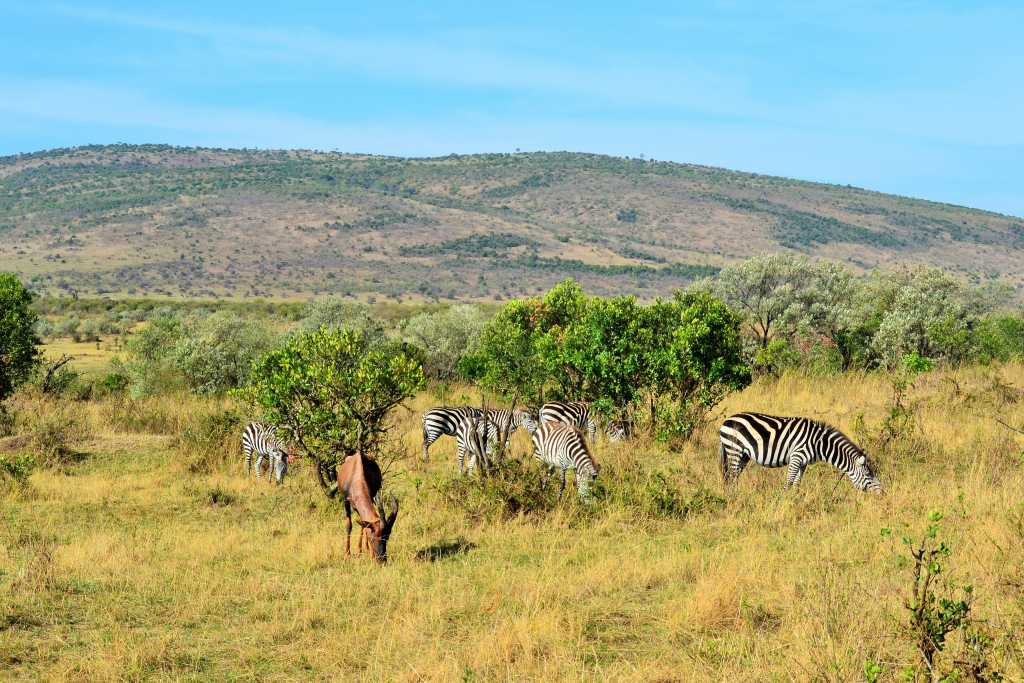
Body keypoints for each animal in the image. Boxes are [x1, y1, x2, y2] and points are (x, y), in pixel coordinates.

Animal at [716, 411, 884, 491]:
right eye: (868, 476)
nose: (881, 494)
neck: (818, 443)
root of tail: (727, 420)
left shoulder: (803, 462)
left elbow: (797, 483)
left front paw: (795, 501)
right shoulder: (796, 456)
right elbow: (789, 481)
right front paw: (783, 503)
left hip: (743, 455)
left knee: (733, 476)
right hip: (734, 450)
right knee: (731, 476)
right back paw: (735, 498)